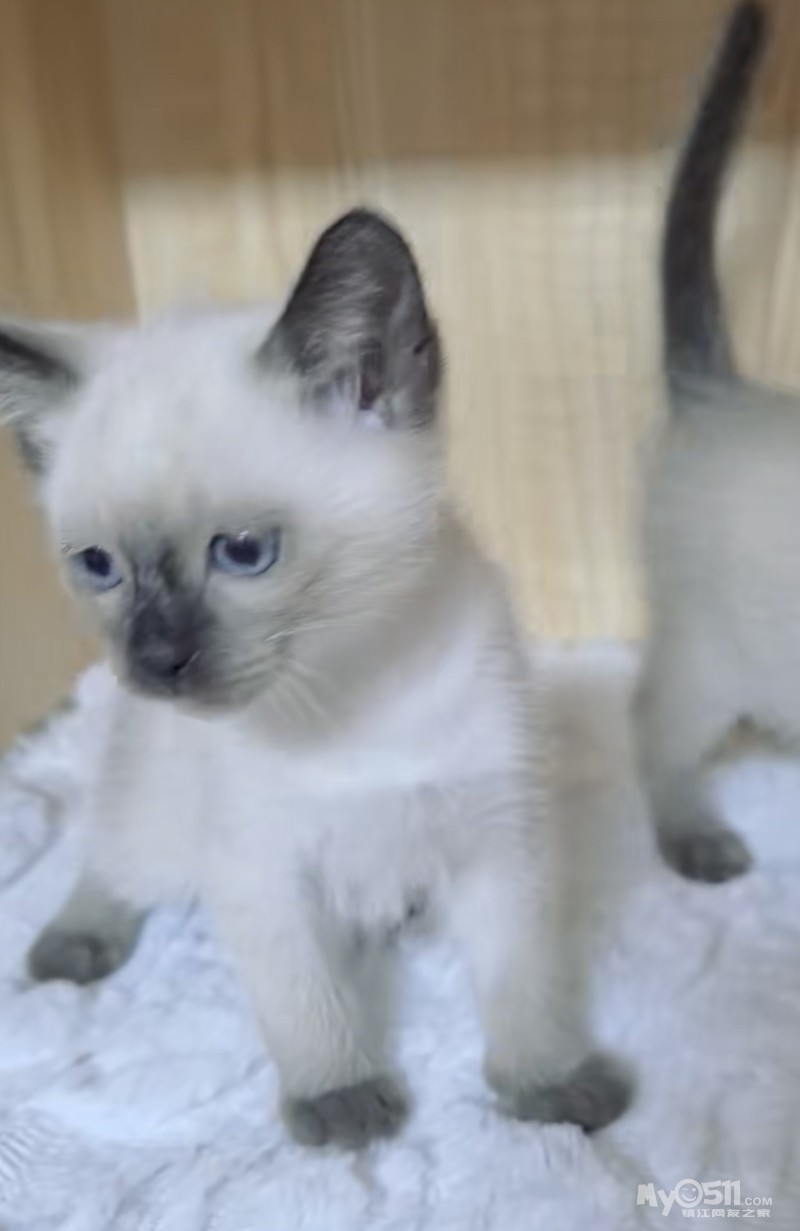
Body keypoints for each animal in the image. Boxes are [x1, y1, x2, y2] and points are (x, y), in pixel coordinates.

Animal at [0, 209, 628, 1146]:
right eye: (99, 565)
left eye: (244, 552)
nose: (155, 660)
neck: (350, 692)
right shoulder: (259, 868)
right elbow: (307, 1001)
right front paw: (342, 1100)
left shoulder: (497, 842)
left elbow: (523, 985)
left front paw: (549, 1087)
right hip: (158, 814)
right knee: (114, 859)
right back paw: (72, 946)